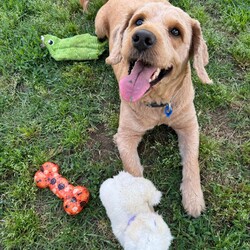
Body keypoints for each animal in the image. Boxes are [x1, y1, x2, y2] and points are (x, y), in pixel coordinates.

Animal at [83, 0, 212, 217]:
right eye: (138, 21)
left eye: (175, 31)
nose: (142, 37)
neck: (158, 103)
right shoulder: (125, 136)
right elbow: (133, 170)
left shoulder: (189, 128)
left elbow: (192, 161)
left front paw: (193, 198)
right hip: (99, 27)